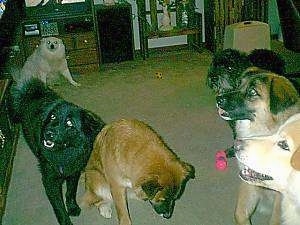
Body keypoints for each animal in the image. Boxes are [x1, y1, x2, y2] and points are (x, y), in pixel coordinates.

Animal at [8, 78, 105, 224]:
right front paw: (66, 220)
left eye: (70, 123)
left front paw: (72, 207)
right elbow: (59, 206)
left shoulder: (73, 172)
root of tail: (32, 92)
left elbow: (71, 192)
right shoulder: (50, 181)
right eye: (52, 117)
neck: (64, 152)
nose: (48, 133)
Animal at [216, 67, 300, 224]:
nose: (218, 99)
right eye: (239, 84)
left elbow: (275, 219)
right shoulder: (248, 178)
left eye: (252, 92)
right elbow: (240, 214)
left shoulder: (280, 197)